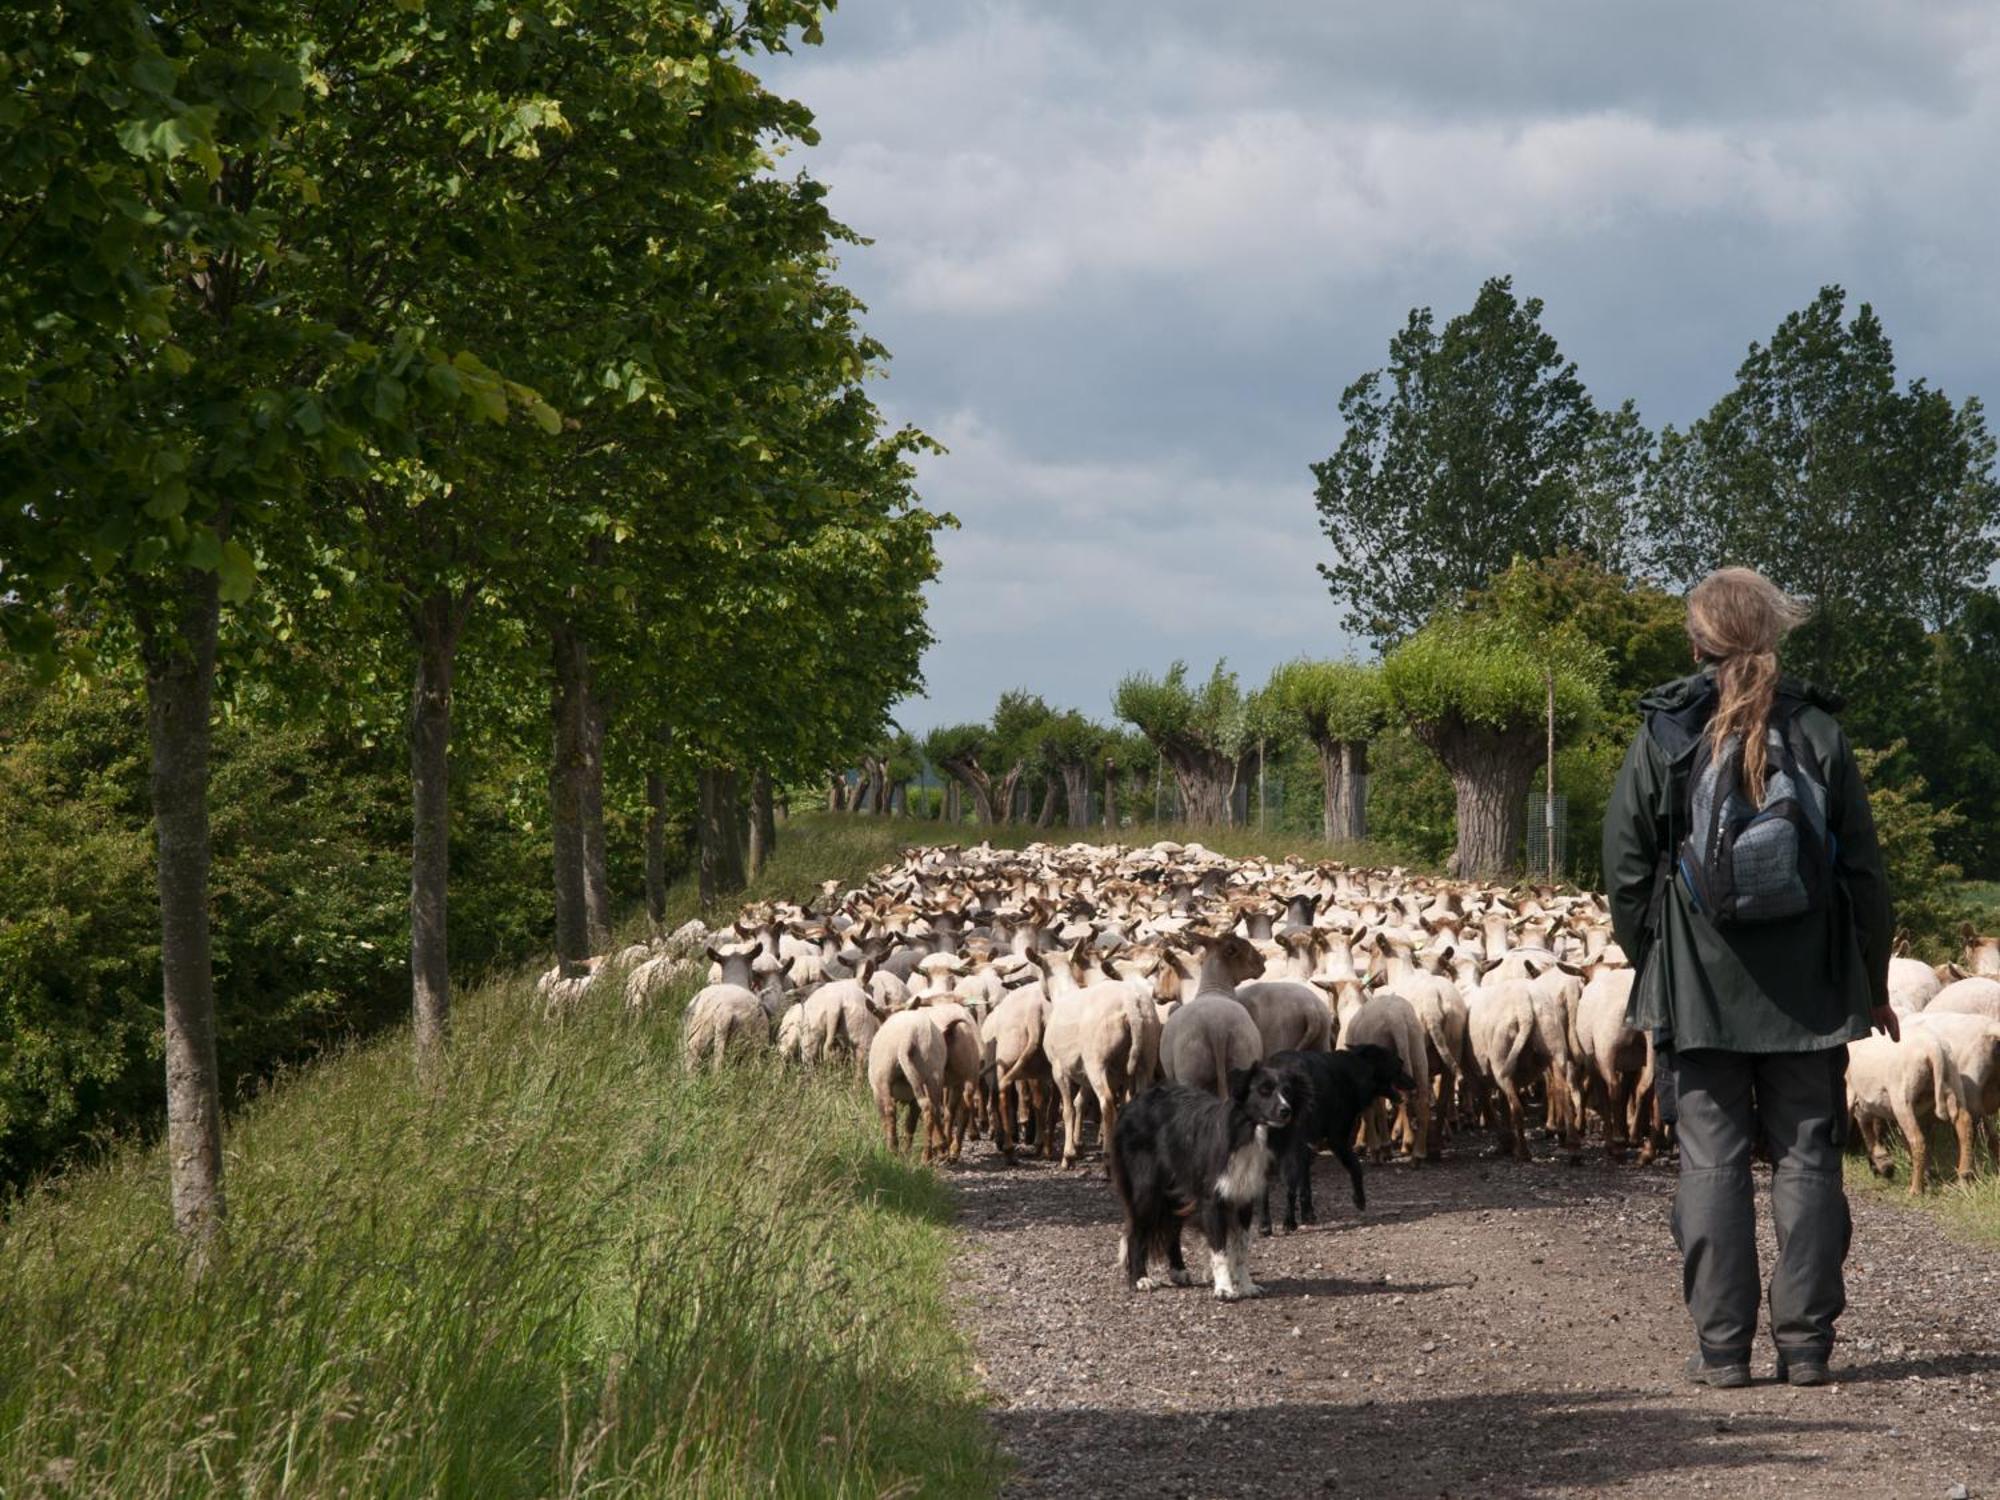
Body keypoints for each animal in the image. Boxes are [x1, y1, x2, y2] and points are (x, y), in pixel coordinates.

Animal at [1112, 1064, 1296, 1296]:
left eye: (1287, 1091)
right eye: (1264, 1090)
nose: (1286, 1111)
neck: (1246, 1132)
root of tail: (1131, 1103)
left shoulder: (1243, 1199)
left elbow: (1241, 1249)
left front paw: (1246, 1286)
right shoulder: (1212, 1200)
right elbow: (1219, 1249)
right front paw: (1224, 1289)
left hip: (1176, 1189)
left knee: (1172, 1229)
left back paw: (1178, 1271)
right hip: (1148, 1188)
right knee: (1136, 1232)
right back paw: (1140, 1278)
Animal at [1256, 1048, 1416, 1240]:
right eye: (1399, 1066)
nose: (1414, 1083)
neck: (1355, 1068)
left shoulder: (1307, 1144)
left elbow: (1305, 1180)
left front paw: (1308, 1214)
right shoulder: (1336, 1138)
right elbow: (1355, 1166)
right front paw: (1359, 1199)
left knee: (1265, 1189)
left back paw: (1265, 1226)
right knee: (1289, 1186)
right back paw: (1289, 1223)